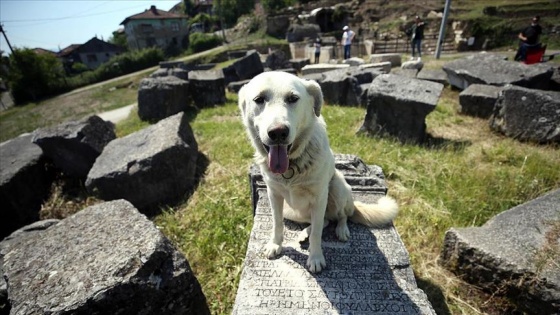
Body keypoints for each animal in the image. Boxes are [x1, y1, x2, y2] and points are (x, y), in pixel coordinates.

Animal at [238, 71, 400, 274]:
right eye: (259, 99)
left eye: (293, 98)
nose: (278, 132)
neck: (291, 167)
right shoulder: (273, 195)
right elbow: (277, 224)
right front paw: (275, 245)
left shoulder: (319, 198)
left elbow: (317, 234)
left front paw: (315, 258)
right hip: (292, 211)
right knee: (324, 221)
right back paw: (304, 233)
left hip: (338, 188)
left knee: (340, 217)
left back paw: (341, 230)